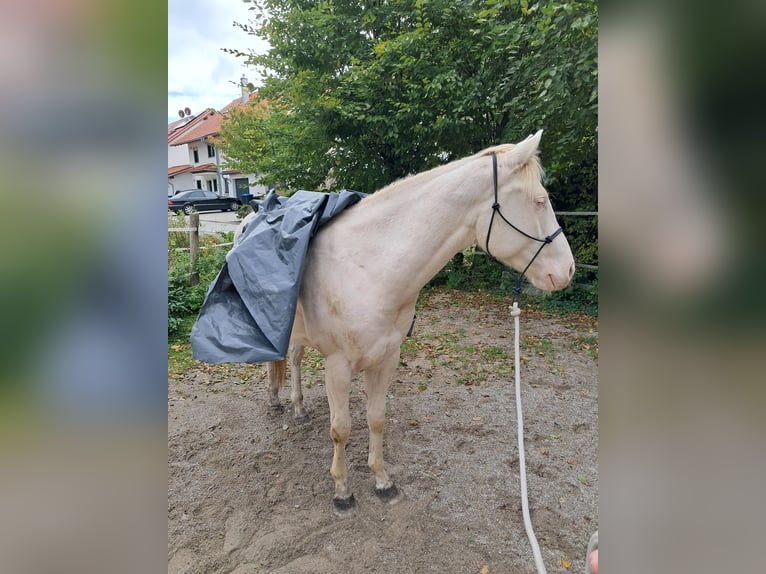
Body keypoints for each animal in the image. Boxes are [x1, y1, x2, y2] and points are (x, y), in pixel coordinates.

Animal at [240, 130, 575, 516]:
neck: (368, 268)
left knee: (292, 360)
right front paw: (342, 492)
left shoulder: (386, 358)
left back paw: (296, 407)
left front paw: (383, 481)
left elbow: (376, 418)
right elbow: (341, 428)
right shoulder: (338, 366)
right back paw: (274, 401)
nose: (567, 270)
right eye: (539, 201)